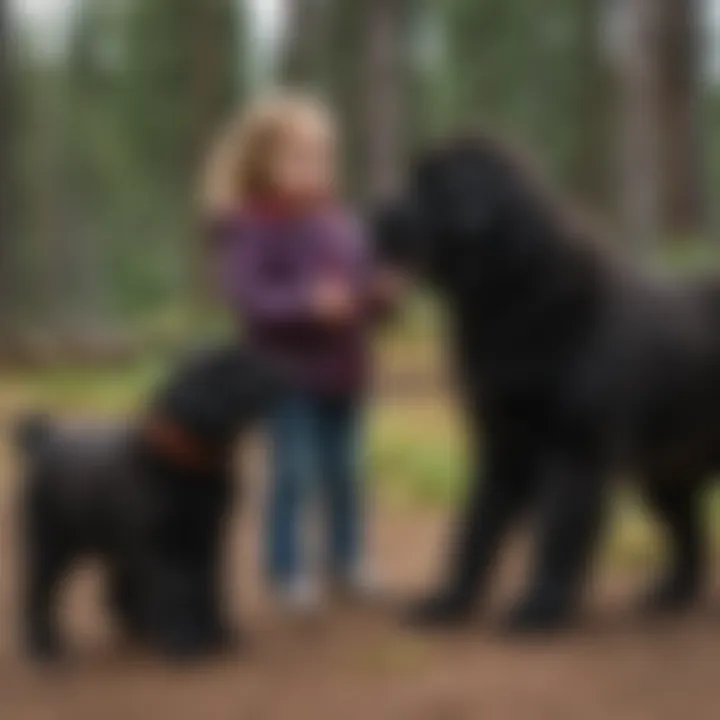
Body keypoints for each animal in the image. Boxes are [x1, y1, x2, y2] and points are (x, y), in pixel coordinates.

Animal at [16, 346, 282, 660]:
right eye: (226, 369)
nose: (269, 366)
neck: (184, 462)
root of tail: (41, 442)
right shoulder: (161, 544)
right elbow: (176, 588)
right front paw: (184, 641)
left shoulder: (207, 535)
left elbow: (208, 583)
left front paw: (216, 632)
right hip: (52, 542)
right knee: (38, 592)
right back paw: (44, 649)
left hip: (115, 543)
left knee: (116, 590)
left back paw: (142, 628)